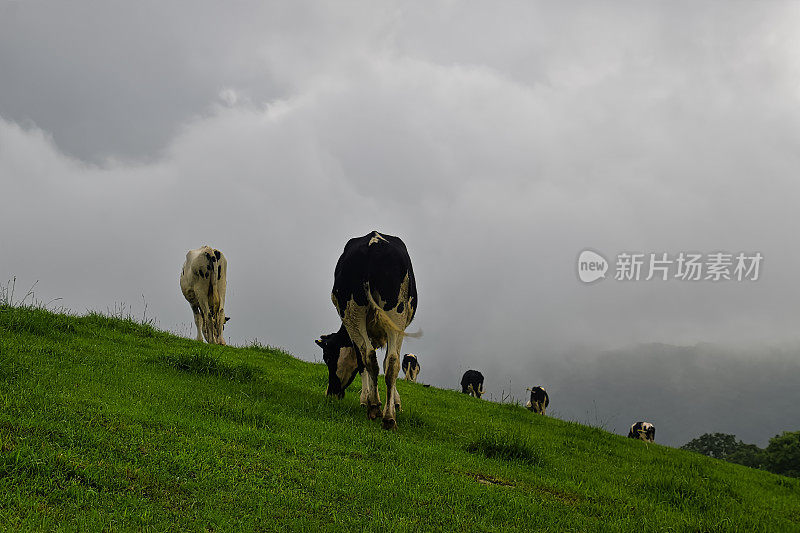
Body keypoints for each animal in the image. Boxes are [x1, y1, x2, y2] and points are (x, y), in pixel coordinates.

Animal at [318, 231, 422, 430]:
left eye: (327, 358)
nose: (330, 393)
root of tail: (373, 243)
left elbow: (363, 364)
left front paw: (371, 399)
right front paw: (388, 402)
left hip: (354, 314)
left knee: (372, 357)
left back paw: (380, 411)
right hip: (390, 316)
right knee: (387, 360)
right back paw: (383, 414)